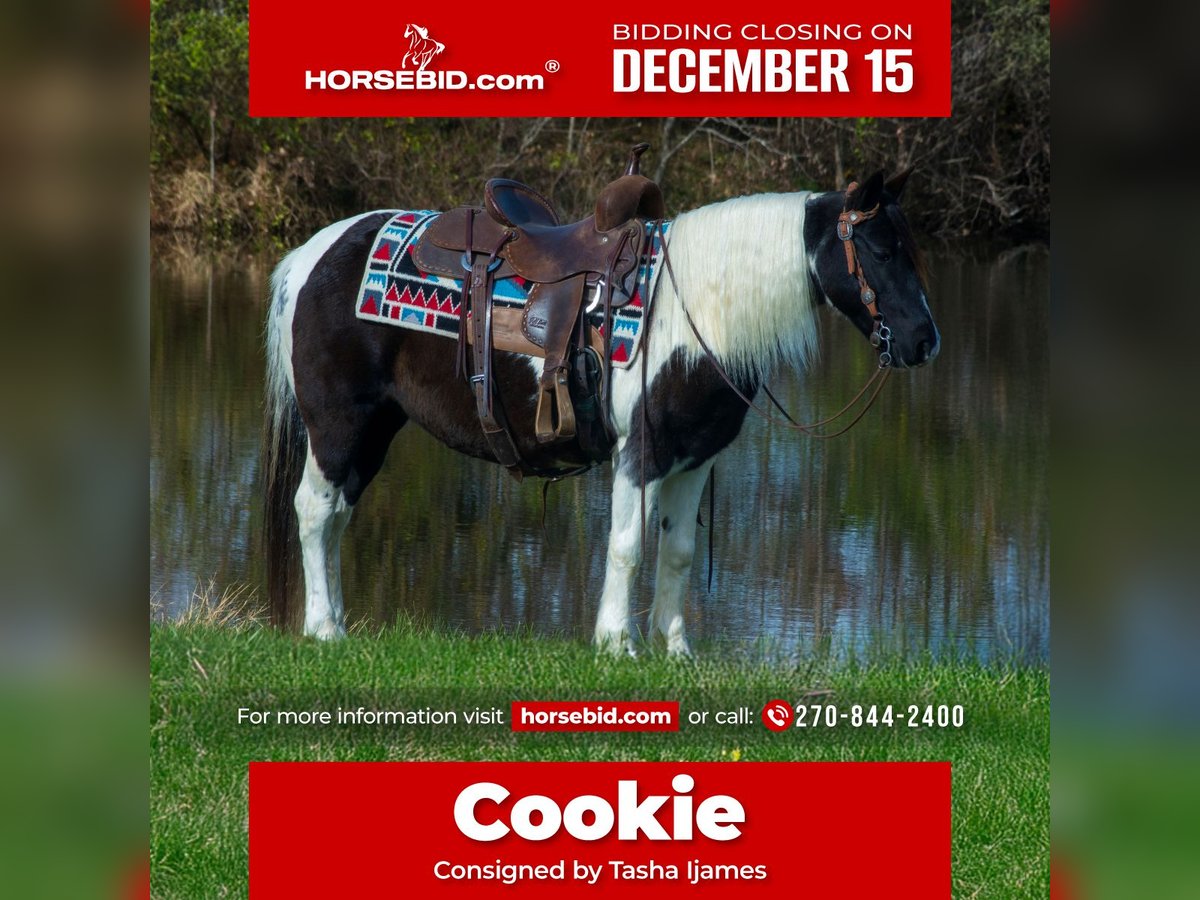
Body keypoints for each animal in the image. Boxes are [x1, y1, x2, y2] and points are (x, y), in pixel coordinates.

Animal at [262, 169, 940, 656]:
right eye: (881, 250)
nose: (924, 341)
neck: (693, 313)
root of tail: (309, 257)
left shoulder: (694, 459)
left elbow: (677, 552)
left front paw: (675, 649)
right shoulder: (641, 454)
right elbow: (626, 545)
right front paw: (617, 643)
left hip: (375, 428)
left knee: (337, 516)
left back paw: (337, 620)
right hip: (337, 422)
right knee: (314, 510)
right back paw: (323, 628)